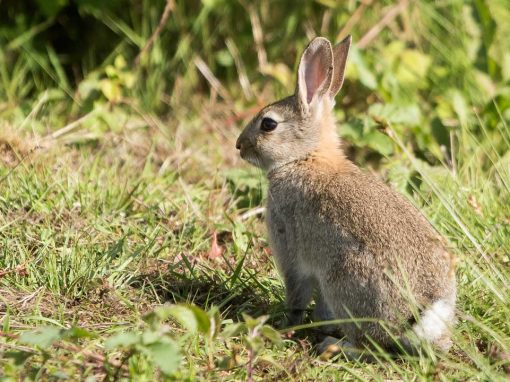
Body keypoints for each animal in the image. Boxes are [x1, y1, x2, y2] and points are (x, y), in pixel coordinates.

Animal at [236, 35, 458, 356]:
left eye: (269, 124)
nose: (239, 145)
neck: (305, 157)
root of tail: (424, 316)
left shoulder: (291, 251)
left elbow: (296, 296)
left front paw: (285, 326)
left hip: (344, 278)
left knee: (368, 344)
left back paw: (334, 345)